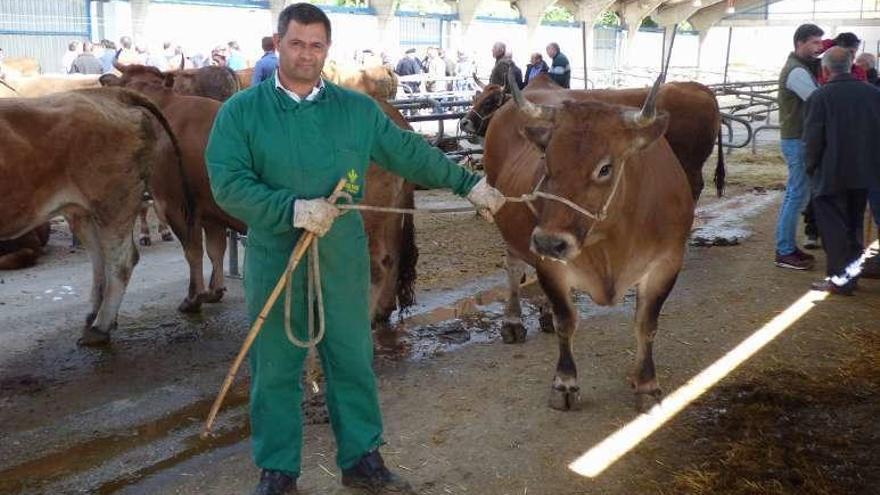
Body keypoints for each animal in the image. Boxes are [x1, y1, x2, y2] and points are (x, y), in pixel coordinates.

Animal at [0, 88, 193, 344]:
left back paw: (100, 327)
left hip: (113, 203)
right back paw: (95, 314)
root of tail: (109, 93)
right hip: (82, 212)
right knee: (101, 260)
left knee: (122, 261)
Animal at [488, 72, 696, 410]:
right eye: (546, 160)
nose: (549, 242)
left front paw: (647, 384)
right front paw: (565, 383)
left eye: (605, 168)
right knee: (513, 268)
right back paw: (513, 321)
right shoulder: (550, 265)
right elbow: (566, 320)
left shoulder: (668, 263)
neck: (611, 242)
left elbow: (646, 324)